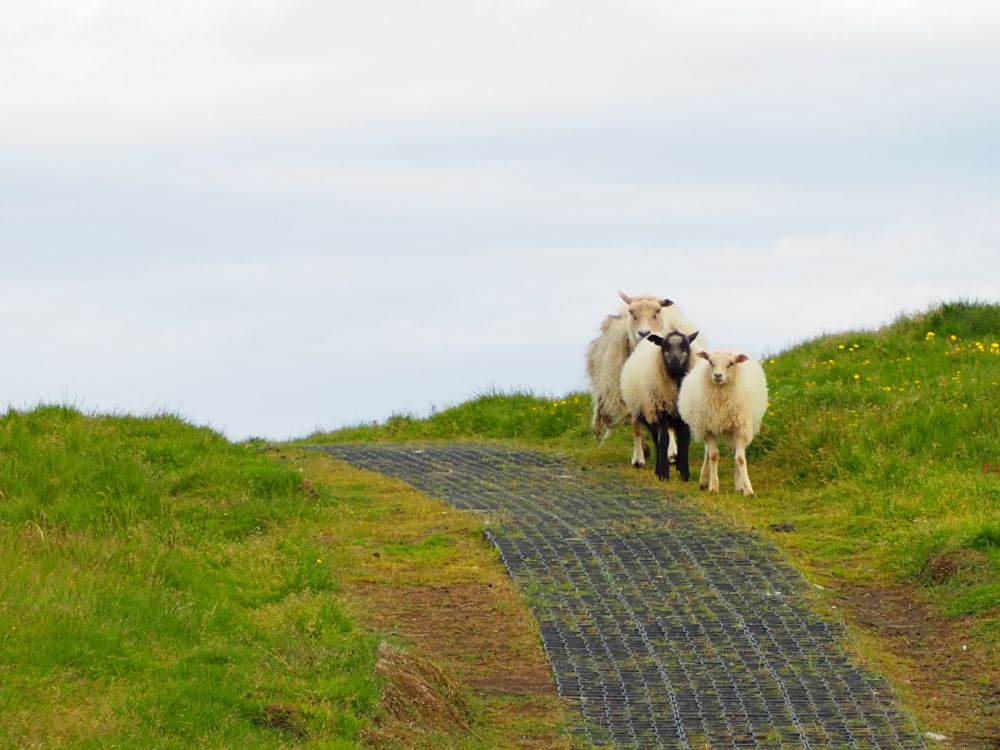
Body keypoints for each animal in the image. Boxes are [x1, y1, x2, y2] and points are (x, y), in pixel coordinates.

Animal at [616, 330, 696, 482]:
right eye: (665, 346)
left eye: (685, 345)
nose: (675, 360)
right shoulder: (659, 413)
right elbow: (663, 441)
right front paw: (663, 474)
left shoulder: (685, 417)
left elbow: (685, 441)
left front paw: (684, 473)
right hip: (649, 415)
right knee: (656, 440)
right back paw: (658, 469)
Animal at [676, 352, 768, 500]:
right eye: (711, 362)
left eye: (731, 363)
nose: (717, 375)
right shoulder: (708, 429)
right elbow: (713, 455)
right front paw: (713, 487)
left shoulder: (740, 429)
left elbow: (740, 459)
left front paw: (747, 489)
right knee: (708, 452)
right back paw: (704, 480)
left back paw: (738, 485)